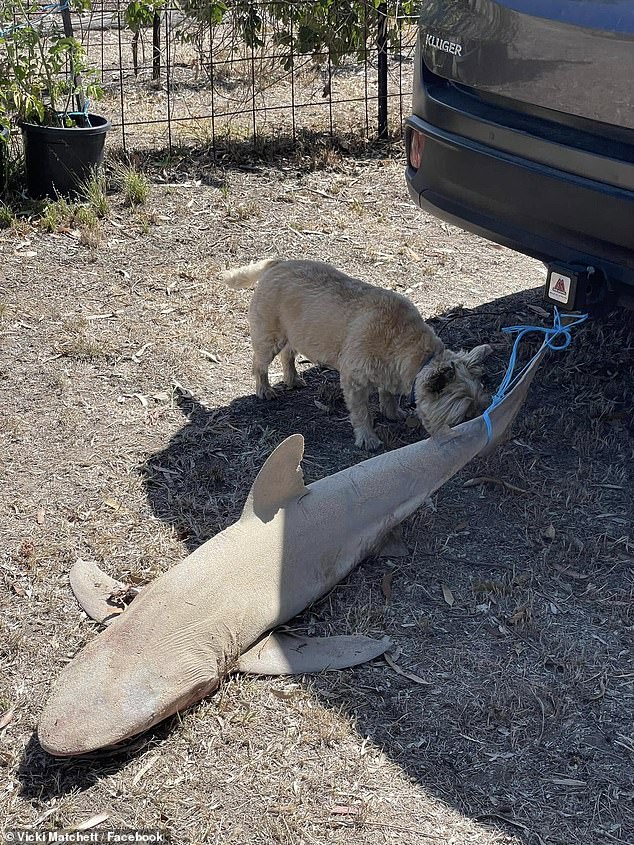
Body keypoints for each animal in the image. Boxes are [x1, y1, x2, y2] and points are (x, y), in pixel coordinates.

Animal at [220, 258, 492, 452]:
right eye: (462, 416)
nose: (477, 434)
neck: (409, 347)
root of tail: (278, 263)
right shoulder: (355, 381)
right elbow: (362, 413)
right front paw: (368, 438)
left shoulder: (390, 373)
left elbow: (388, 395)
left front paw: (393, 413)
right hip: (270, 338)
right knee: (260, 364)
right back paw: (264, 389)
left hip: (294, 334)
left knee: (288, 355)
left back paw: (293, 379)